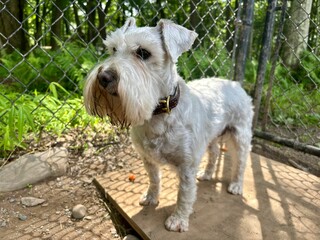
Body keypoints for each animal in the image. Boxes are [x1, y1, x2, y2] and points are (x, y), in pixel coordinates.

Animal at [84, 18, 254, 232]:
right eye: (113, 49)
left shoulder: (187, 164)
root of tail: (235, 84)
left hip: (240, 136)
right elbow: (154, 179)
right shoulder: (147, 158)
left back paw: (236, 185)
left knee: (241, 162)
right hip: (212, 136)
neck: (160, 114)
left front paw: (178, 220)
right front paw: (151, 198)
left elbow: (185, 194)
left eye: (143, 52)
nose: (104, 77)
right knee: (215, 153)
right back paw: (207, 174)